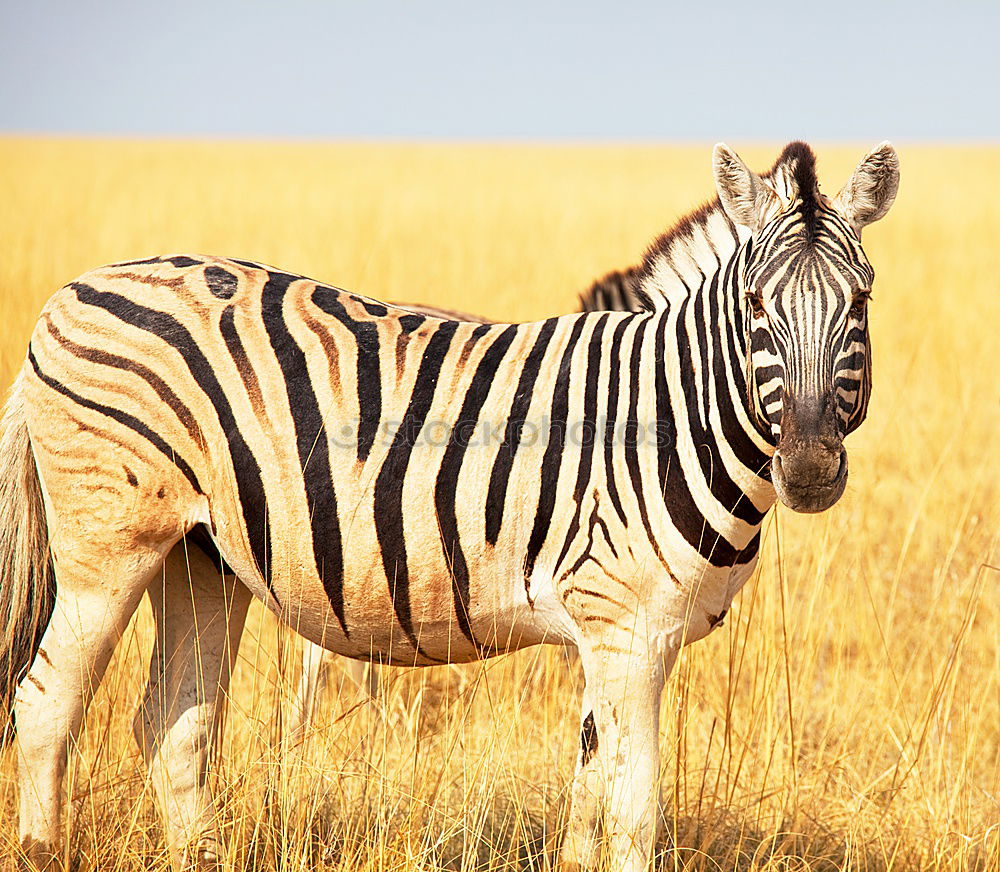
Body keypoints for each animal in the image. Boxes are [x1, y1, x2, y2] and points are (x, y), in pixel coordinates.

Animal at [0, 140, 896, 868]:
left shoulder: (617, 635)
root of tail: (69, 293)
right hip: (108, 545)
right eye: (756, 307)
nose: (809, 470)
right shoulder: (625, 628)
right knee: (45, 706)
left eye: (861, 301)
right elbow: (635, 813)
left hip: (200, 558)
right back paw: (43, 849)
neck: (668, 414)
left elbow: (588, 799)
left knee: (174, 727)